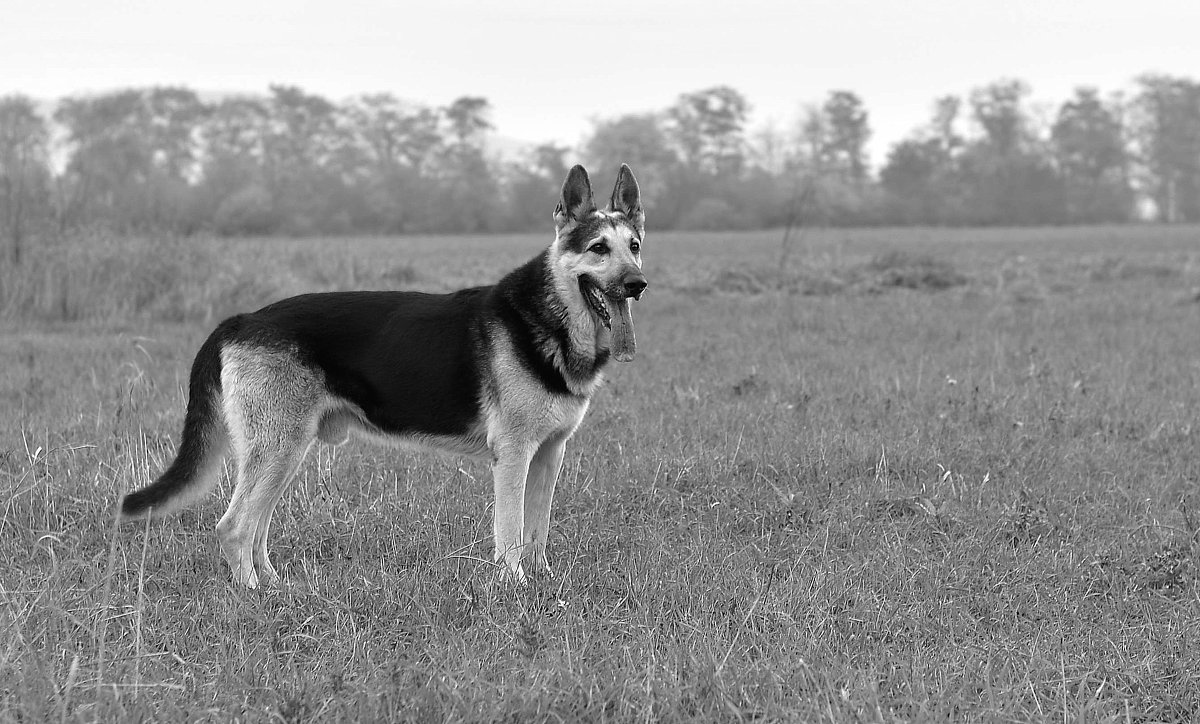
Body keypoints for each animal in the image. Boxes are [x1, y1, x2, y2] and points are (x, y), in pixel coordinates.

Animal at [121, 164, 648, 588]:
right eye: (598, 248)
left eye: (635, 247)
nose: (638, 284)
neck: (549, 317)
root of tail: (241, 319)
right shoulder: (514, 456)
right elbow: (511, 532)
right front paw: (514, 590)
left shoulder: (549, 455)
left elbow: (536, 532)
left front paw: (544, 585)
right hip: (277, 448)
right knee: (233, 527)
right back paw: (255, 595)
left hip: (284, 452)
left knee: (256, 528)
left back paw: (277, 587)